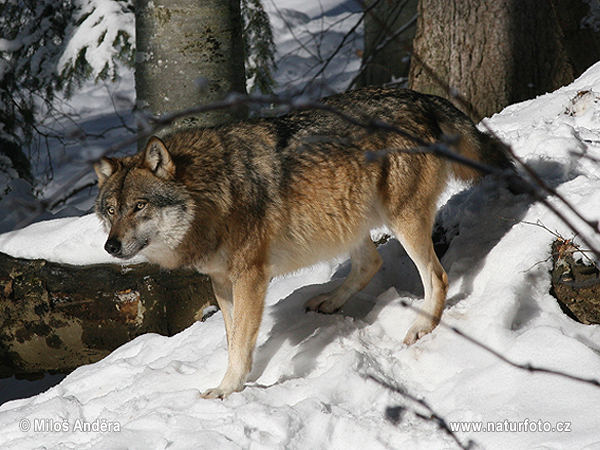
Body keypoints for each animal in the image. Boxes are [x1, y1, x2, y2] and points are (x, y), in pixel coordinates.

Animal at [94, 87, 510, 398]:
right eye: (111, 210)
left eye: (139, 206)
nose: (110, 247)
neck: (213, 191)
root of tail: (418, 95)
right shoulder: (221, 281)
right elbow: (232, 339)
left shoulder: (250, 277)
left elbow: (240, 342)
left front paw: (228, 389)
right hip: (346, 218)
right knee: (370, 263)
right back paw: (329, 301)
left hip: (401, 220)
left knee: (436, 277)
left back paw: (422, 327)